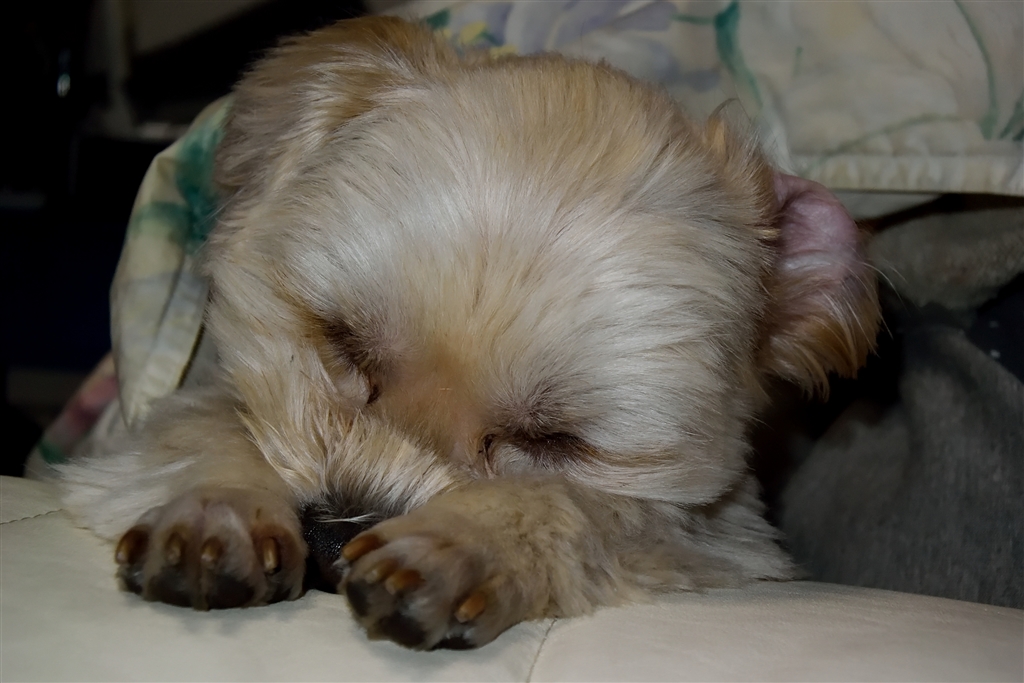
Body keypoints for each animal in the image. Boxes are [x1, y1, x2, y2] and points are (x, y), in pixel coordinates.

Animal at [61, 17, 878, 650]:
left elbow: (581, 508)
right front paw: (219, 509)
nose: (333, 534)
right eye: (341, 339)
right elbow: (210, 423)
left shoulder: (720, 540)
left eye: (556, 441)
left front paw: (463, 542)